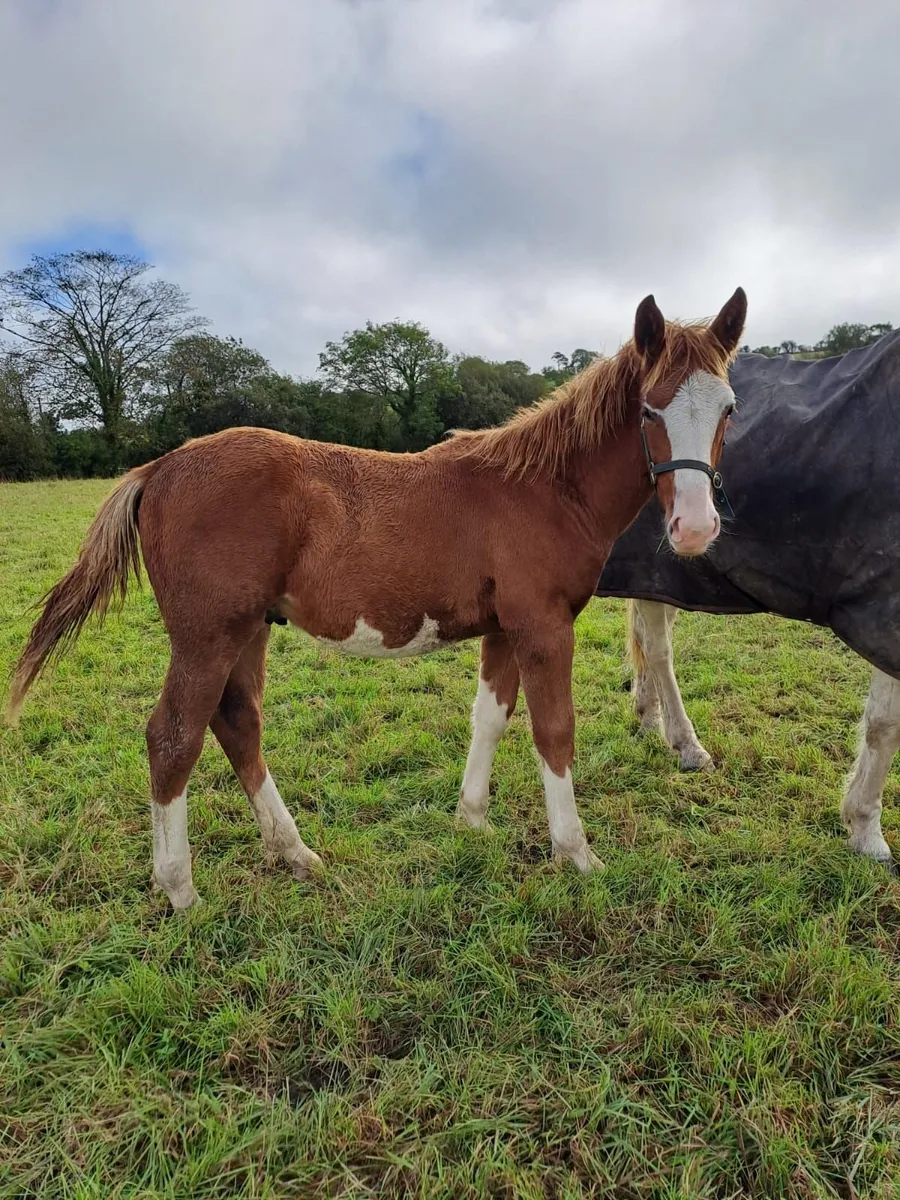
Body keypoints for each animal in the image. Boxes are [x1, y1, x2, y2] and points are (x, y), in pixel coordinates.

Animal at [6, 288, 747, 910]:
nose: (695, 528)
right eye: (650, 408)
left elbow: (489, 719)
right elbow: (554, 730)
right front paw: (577, 854)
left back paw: (295, 853)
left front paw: (472, 822)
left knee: (237, 723)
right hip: (206, 636)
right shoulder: (543, 627)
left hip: (249, 630)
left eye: (728, 409)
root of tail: (158, 468)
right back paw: (180, 891)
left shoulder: (504, 628)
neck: (543, 487)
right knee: (173, 737)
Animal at [594, 331, 900, 869]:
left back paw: (648, 718)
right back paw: (687, 745)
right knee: (659, 650)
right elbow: (884, 726)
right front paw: (866, 830)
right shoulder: (886, 607)